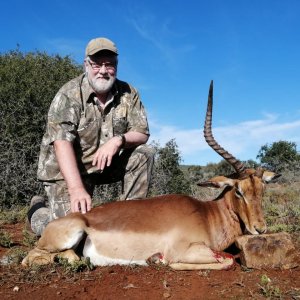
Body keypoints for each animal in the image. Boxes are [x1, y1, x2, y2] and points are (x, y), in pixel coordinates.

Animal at [21, 81, 278, 270]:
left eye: (262, 190)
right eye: (239, 191)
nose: (260, 228)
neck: (207, 215)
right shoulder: (186, 250)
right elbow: (224, 261)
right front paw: (159, 259)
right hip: (68, 235)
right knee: (32, 257)